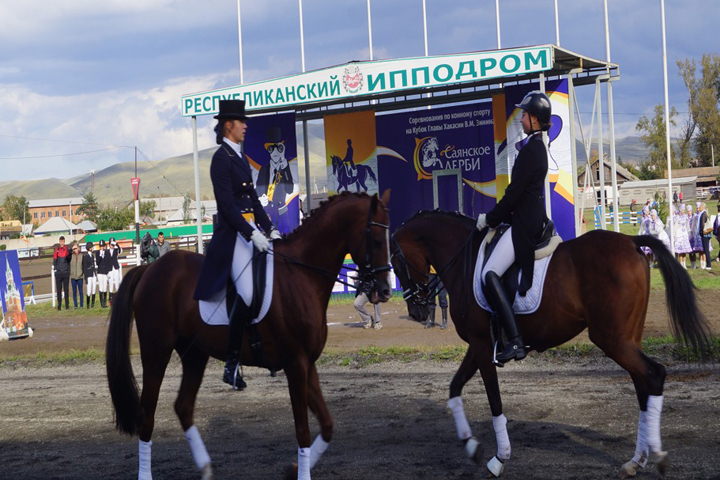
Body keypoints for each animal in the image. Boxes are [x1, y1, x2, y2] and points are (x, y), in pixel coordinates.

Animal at [104, 191, 390, 480]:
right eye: (377, 240)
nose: (385, 290)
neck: (301, 276)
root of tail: (149, 269)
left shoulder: (308, 363)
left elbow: (328, 425)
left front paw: (294, 468)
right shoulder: (295, 363)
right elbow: (303, 430)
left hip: (195, 354)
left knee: (183, 406)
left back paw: (206, 468)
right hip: (156, 352)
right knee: (147, 413)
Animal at [390, 212, 712, 478]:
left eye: (395, 261)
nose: (416, 312)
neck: (463, 260)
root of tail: (632, 241)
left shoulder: (482, 346)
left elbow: (494, 400)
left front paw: (499, 459)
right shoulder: (478, 345)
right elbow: (454, 388)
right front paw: (471, 446)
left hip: (612, 338)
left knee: (653, 375)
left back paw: (656, 455)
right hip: (627, 338)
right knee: (642, 383)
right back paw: (636, 461)